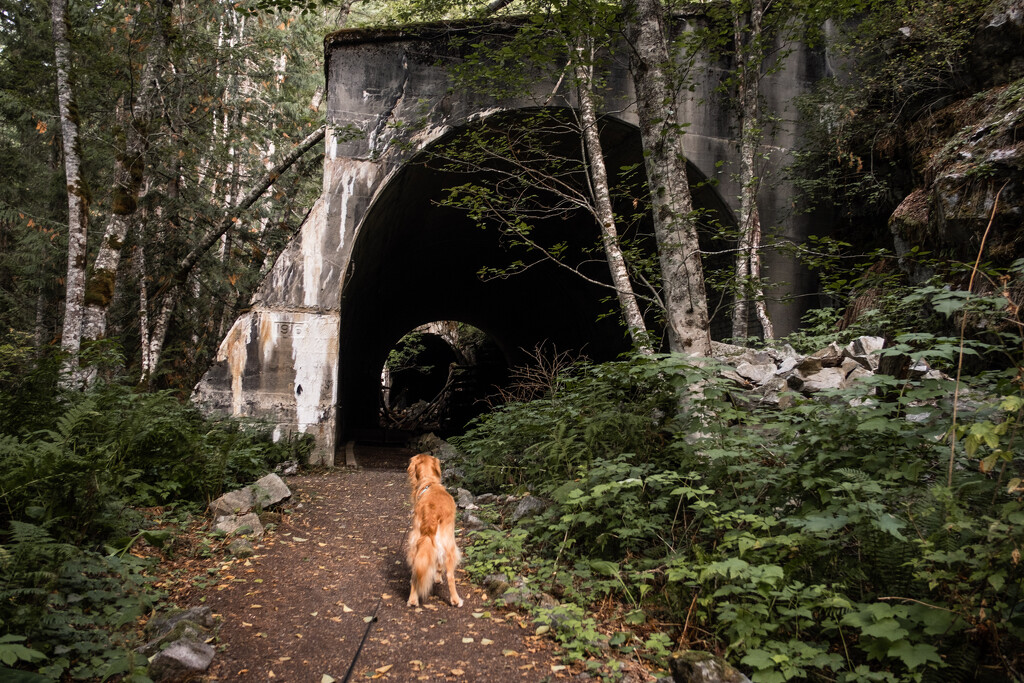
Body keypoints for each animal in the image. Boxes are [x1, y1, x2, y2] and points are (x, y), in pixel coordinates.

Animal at [403, 454, 464, 610]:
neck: (429, 483)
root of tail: (431, 513)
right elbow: (439, 566)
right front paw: (437, 579)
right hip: (449, 545)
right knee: (450, 576)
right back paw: (456, 600)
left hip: (415, 544)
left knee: (415, 574)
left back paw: (413, 600)